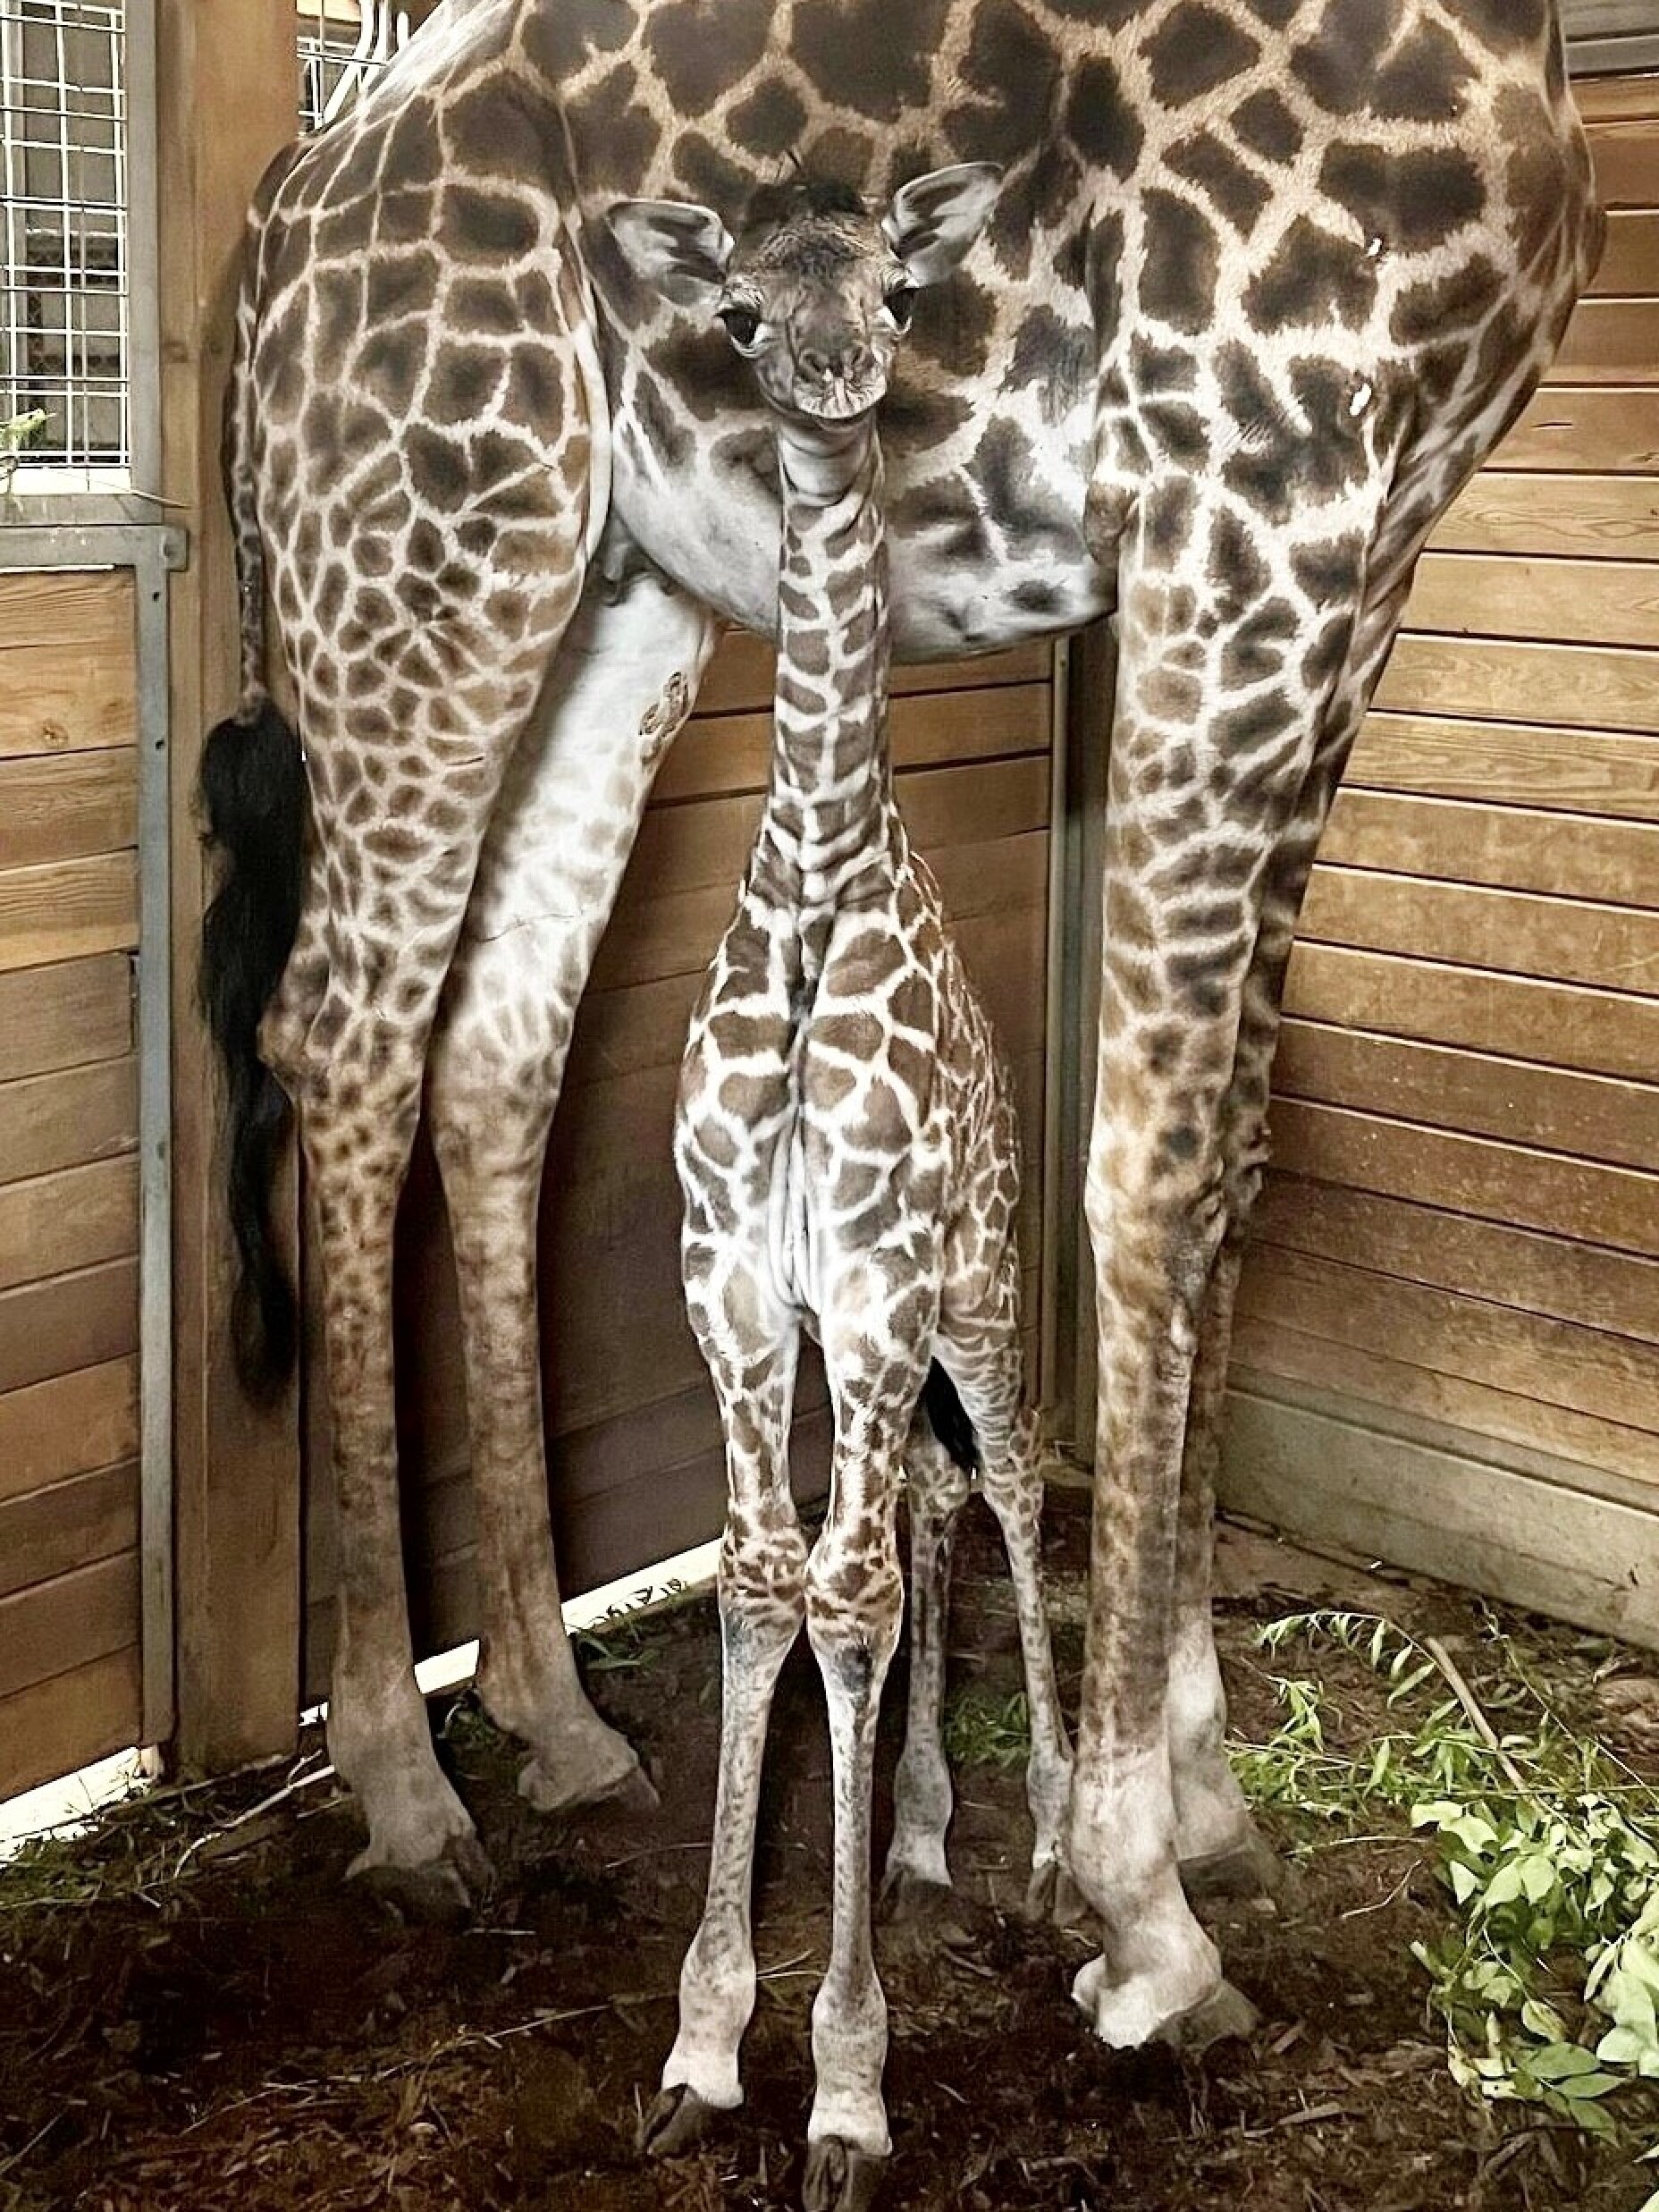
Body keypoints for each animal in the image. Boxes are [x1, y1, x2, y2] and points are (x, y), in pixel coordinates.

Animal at [201, 0, 1601, 2043]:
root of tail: (277, 223)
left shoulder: (1368, 553)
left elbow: (1239, 1154)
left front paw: (1205, 1793)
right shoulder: (1239, 492)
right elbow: (1152, 1176)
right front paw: (1143, 1900)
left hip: (618, 586)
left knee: (499, 1045)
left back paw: (553, 1716)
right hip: (426, 552)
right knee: (345, 1035)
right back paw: (400, 1778)